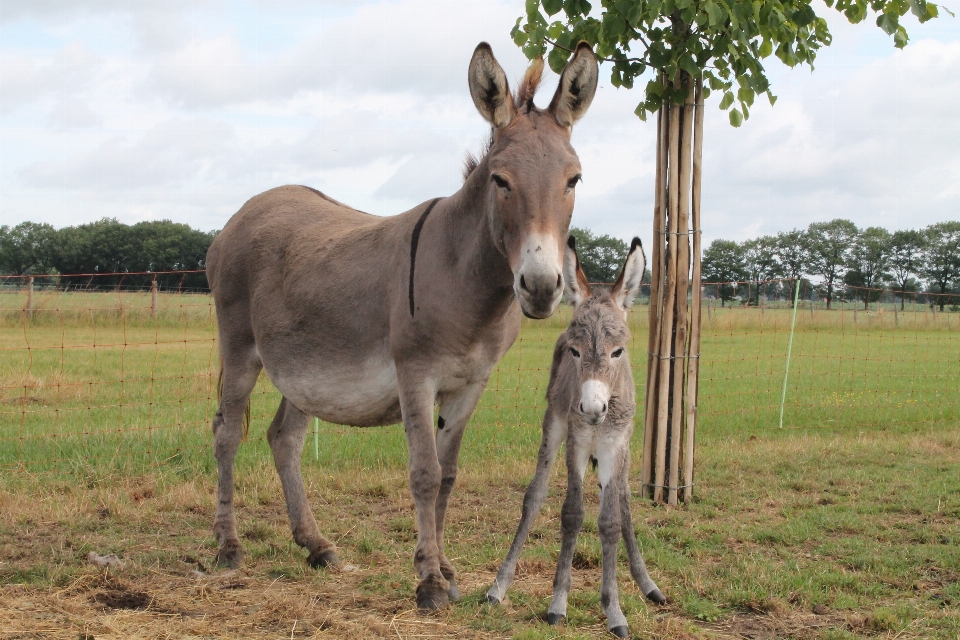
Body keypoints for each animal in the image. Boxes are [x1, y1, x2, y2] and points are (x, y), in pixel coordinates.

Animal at [492, 238, 664, 636]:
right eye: (575, 350)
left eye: (618, 351)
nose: (591, 407)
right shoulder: (577, 442)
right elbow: (572, 514)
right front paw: (558, 603)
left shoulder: (615, 445)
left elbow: (612, 520)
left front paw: (614, 610)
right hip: (553, 425)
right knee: (535, 496)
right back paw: (499, 585)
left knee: (625, 500)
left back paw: (647, 584)